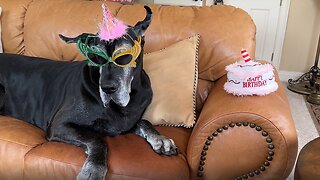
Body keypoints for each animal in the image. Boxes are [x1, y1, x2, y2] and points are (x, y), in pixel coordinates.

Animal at [0, 5, 178, 180]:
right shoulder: (59, 124)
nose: (107, 88)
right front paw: (94, 169)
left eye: (124, 55)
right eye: (96, 56)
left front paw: (160, 139)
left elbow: (144, 122)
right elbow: (97, 140)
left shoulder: (124, 123)